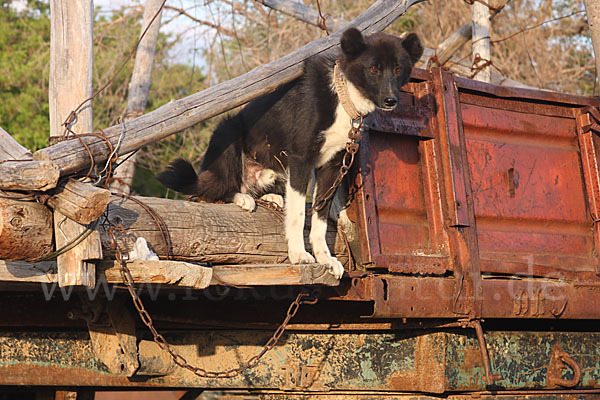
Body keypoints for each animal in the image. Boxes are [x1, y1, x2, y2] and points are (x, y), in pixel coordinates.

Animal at [157, 27, 424, 278]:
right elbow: (298, 215)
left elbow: (319, 218)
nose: (391, 101)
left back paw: (270, 197)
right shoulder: (300, 161)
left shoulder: (331, 167)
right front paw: (299, 255)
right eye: (373, 69)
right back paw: (242, 198)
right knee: (213, 192)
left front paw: (325, 259)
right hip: (228, 132)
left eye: (398, 69)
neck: (342, 96)